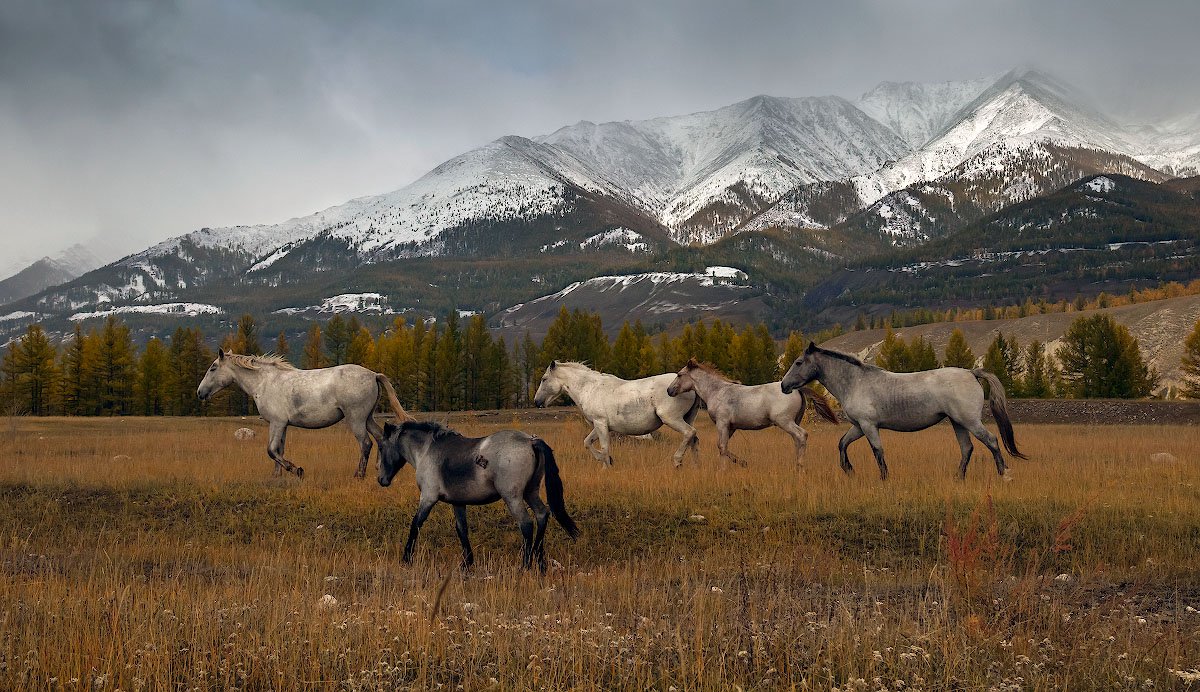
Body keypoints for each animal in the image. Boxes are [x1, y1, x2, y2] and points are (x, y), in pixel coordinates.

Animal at [192, 352, 408, 477]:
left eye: (213, 367)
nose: (200, 393)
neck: (264, 382)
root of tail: (373, 375)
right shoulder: (282, 425)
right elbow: (279, 449)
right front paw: (277, 476)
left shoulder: (277, 423)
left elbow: (271, 450)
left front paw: (296, 470)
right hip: (367, 418)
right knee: (380, 438)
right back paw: (379, 469)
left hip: (356, 419)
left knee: (366, 443)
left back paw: (359, 475)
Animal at [376, 422, 578, 570]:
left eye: (381, 447)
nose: (381, 479)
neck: (427, 450)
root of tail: (530, 440)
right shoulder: (457, 502)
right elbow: (461, 529)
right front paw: (466, 563)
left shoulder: (428, 497)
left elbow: (415, 525)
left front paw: (406, 558)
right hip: (530, 492)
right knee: (542, 515)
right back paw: (540, 562)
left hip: (513, 497)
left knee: (526, 524)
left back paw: (525, 566)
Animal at [537, 359, 700, 467]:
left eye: (544, 379)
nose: (537, 401)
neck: (589, 388)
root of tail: (691, 386)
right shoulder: (600, 426)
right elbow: (587, 442)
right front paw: (607, 461)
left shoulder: (600, 423)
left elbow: (604, 448)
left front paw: (606, 465)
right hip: (687, 418)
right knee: (694, 439)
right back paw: (695, 466)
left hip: (672, 419)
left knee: (689, 433)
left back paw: (677, 461)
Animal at [667, 359, 844, 467]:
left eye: (679, 375)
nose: (669, 390)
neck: (717, 391)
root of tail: (797, 389)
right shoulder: (731, 427)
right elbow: (723, 446)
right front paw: (742, 462)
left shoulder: (722, 423)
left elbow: (722, 446)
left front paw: (723, 470)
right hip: (794, 420)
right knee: (797, 440)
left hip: (784, 421)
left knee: (802, 435)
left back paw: (800, 465)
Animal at [782, 340, 1027, 479]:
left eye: (798, 362)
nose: (784, 386)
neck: (855, 381)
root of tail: (971, 372)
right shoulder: (859, 426)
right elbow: (842, 443)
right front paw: (849, 470)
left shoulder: (869, 426)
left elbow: (877, 451)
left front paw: (884, 478)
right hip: (958, 423)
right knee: (967, 449)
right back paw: (958, 478)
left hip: (970, 421)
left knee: (992, 441)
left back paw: (1004, 474)